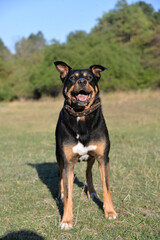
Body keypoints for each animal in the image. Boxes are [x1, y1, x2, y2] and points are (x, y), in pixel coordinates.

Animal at [54, 61, 117, 230]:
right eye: (72, 78)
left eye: (89, 77)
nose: (82, 81)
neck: (81, 116)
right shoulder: (68, 161)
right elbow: (69, 195)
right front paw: (66, 221)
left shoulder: (103, 158)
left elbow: (106, 187)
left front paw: (110, 212)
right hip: (59, 156)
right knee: (60, 174)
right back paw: (61, 193)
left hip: (92, 157)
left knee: (88, 172)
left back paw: (92, 192)